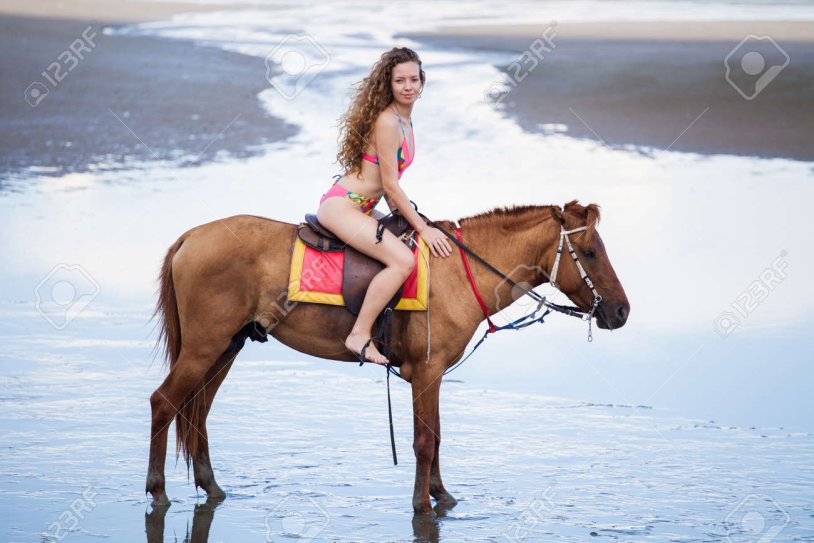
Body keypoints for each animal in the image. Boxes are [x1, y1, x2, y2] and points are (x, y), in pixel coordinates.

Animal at [145, 200, 630, 514]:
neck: (458, 270)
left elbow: (435, 435)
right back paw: (158, 490)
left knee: (196, 413)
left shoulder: (433, 375)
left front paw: (441, 495)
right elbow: (424, 441)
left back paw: (211, 486)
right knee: (164, 404)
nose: (622, 311)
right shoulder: (427, 372)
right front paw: (422, 504)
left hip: (226, 346)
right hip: (204, 346)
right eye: (589, 252)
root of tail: (191, 237)